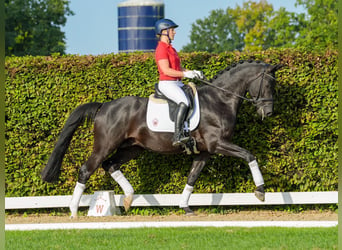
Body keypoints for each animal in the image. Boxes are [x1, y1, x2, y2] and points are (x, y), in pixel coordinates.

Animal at [42, 60, 284, 217]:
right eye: (268, 84)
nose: (269, 113)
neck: (220, 100)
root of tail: (105, 106)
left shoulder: (205, 151)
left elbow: (192, 177)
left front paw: (185, 207)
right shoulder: (218, 144)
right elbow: (249, 155)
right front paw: (260, 191)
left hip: (132, 148)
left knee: (110, 165)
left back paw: (128, 199)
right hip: (105, 145)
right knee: (87, 169)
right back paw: (74, 211)